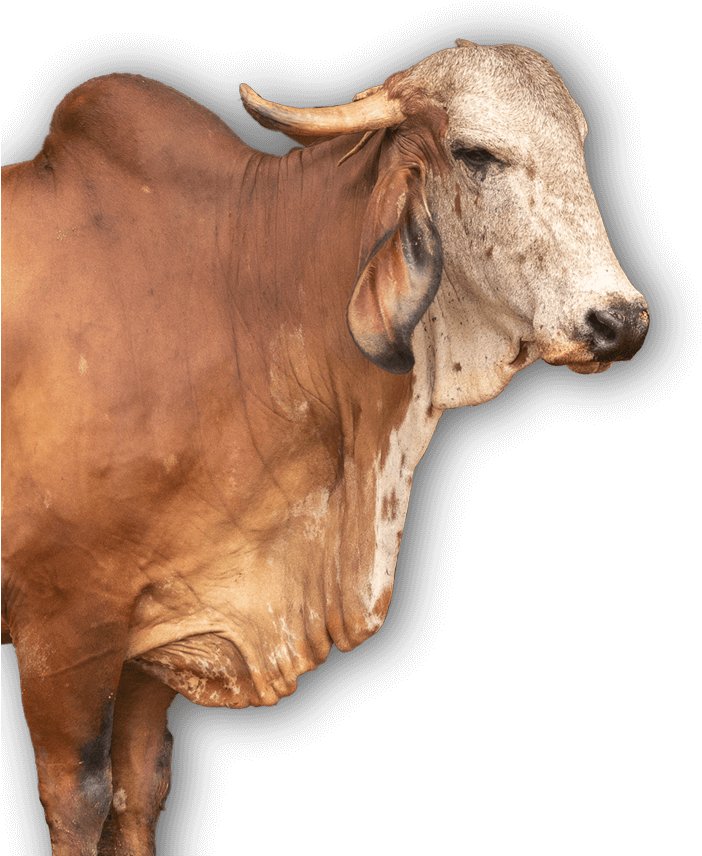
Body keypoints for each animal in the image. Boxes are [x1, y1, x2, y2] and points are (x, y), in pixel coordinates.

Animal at [1, 39, 648, 855]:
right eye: (476, 154)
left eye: (579, 146)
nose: (620, 321)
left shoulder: (158, 630)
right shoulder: (64, 622)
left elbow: (137, 792)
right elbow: (81, 799)